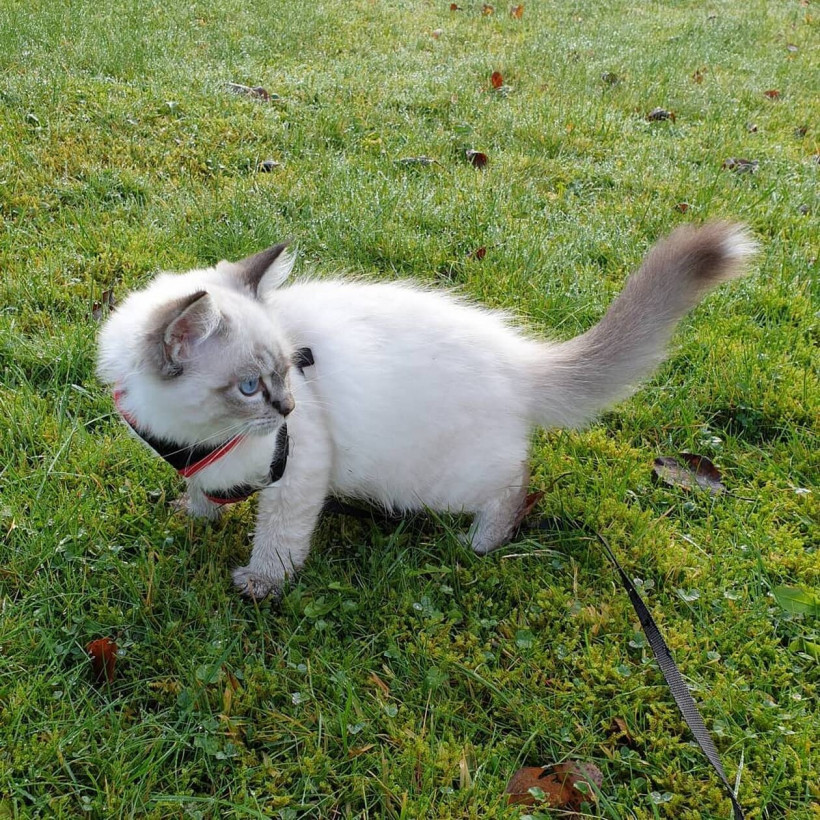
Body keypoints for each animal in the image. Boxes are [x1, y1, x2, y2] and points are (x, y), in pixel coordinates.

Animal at [97, 222, 755, 599]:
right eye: (252, 386)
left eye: (283, 373)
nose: (287, 405)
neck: (197, 434)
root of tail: (517, 358)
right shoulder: (196, 459)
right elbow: (201, 490)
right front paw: (195, 518)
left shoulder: (299, 469)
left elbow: (278, 541)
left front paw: (261, 585)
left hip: (432, 481)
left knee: (514, 488)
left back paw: (480, 544)